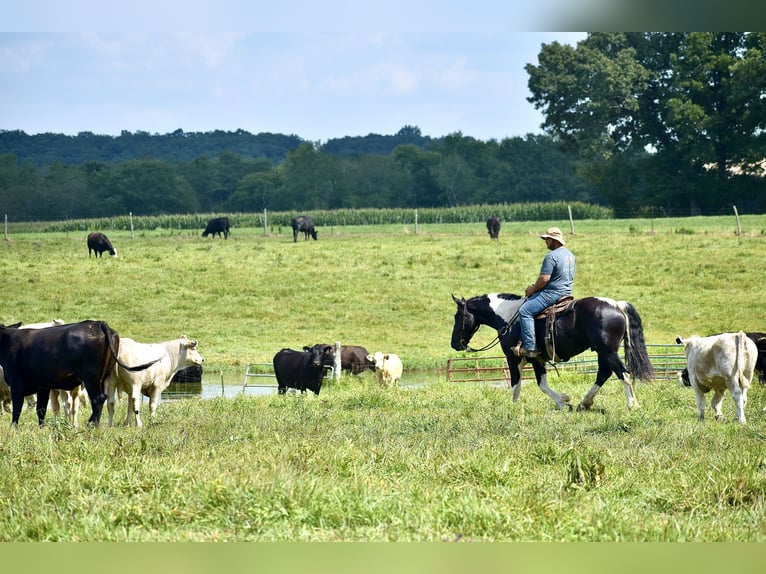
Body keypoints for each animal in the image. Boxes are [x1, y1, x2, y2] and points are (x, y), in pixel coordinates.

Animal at [0, 320, 160, 428]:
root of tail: (97, 323)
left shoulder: (16, 385)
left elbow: (17, 409)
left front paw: (13, 429)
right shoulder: (43, 387)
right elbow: (41, 409)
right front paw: (41, 427)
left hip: (90, 377)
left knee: (97, 399)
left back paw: (91, 425)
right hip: (105, 377)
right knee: (104, 398)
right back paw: (94, 423)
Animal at [452, 294, 656, 412]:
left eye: (457, 316)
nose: (454, 344)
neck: (510, 317)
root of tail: (616, 305)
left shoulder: (513, 358)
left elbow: (516, 384)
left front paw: (513, 407)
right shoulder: (536, 359)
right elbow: (542, 383)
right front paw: (563, 402)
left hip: (607, 351)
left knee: (623, 374)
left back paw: (632, 404)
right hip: (603, 352)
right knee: (604, 373)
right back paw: (584, 403)